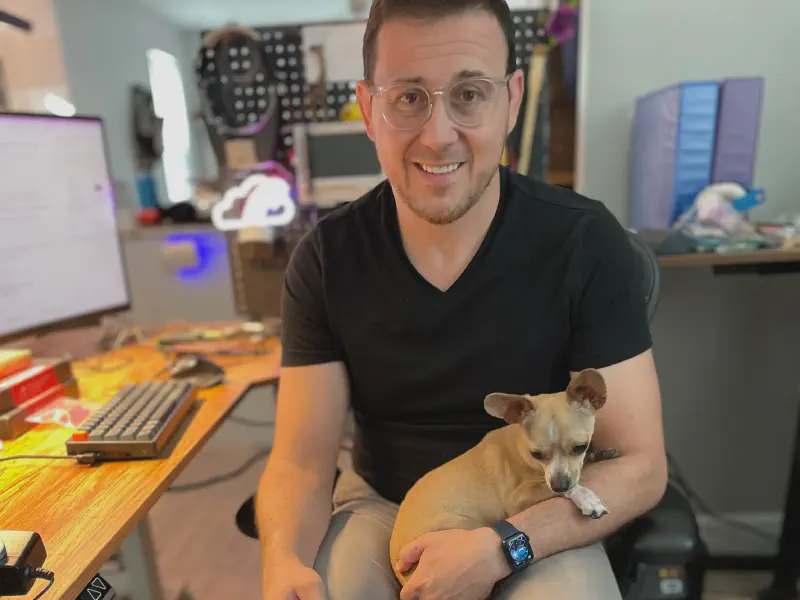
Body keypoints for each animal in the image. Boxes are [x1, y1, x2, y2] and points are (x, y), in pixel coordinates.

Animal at [390, 368, 608, 584]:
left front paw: (595, 456)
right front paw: (585, 496)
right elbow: (563, 487)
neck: (521, 445)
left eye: (580, 447)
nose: (560, 485)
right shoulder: (518, 500)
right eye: (536, 454)